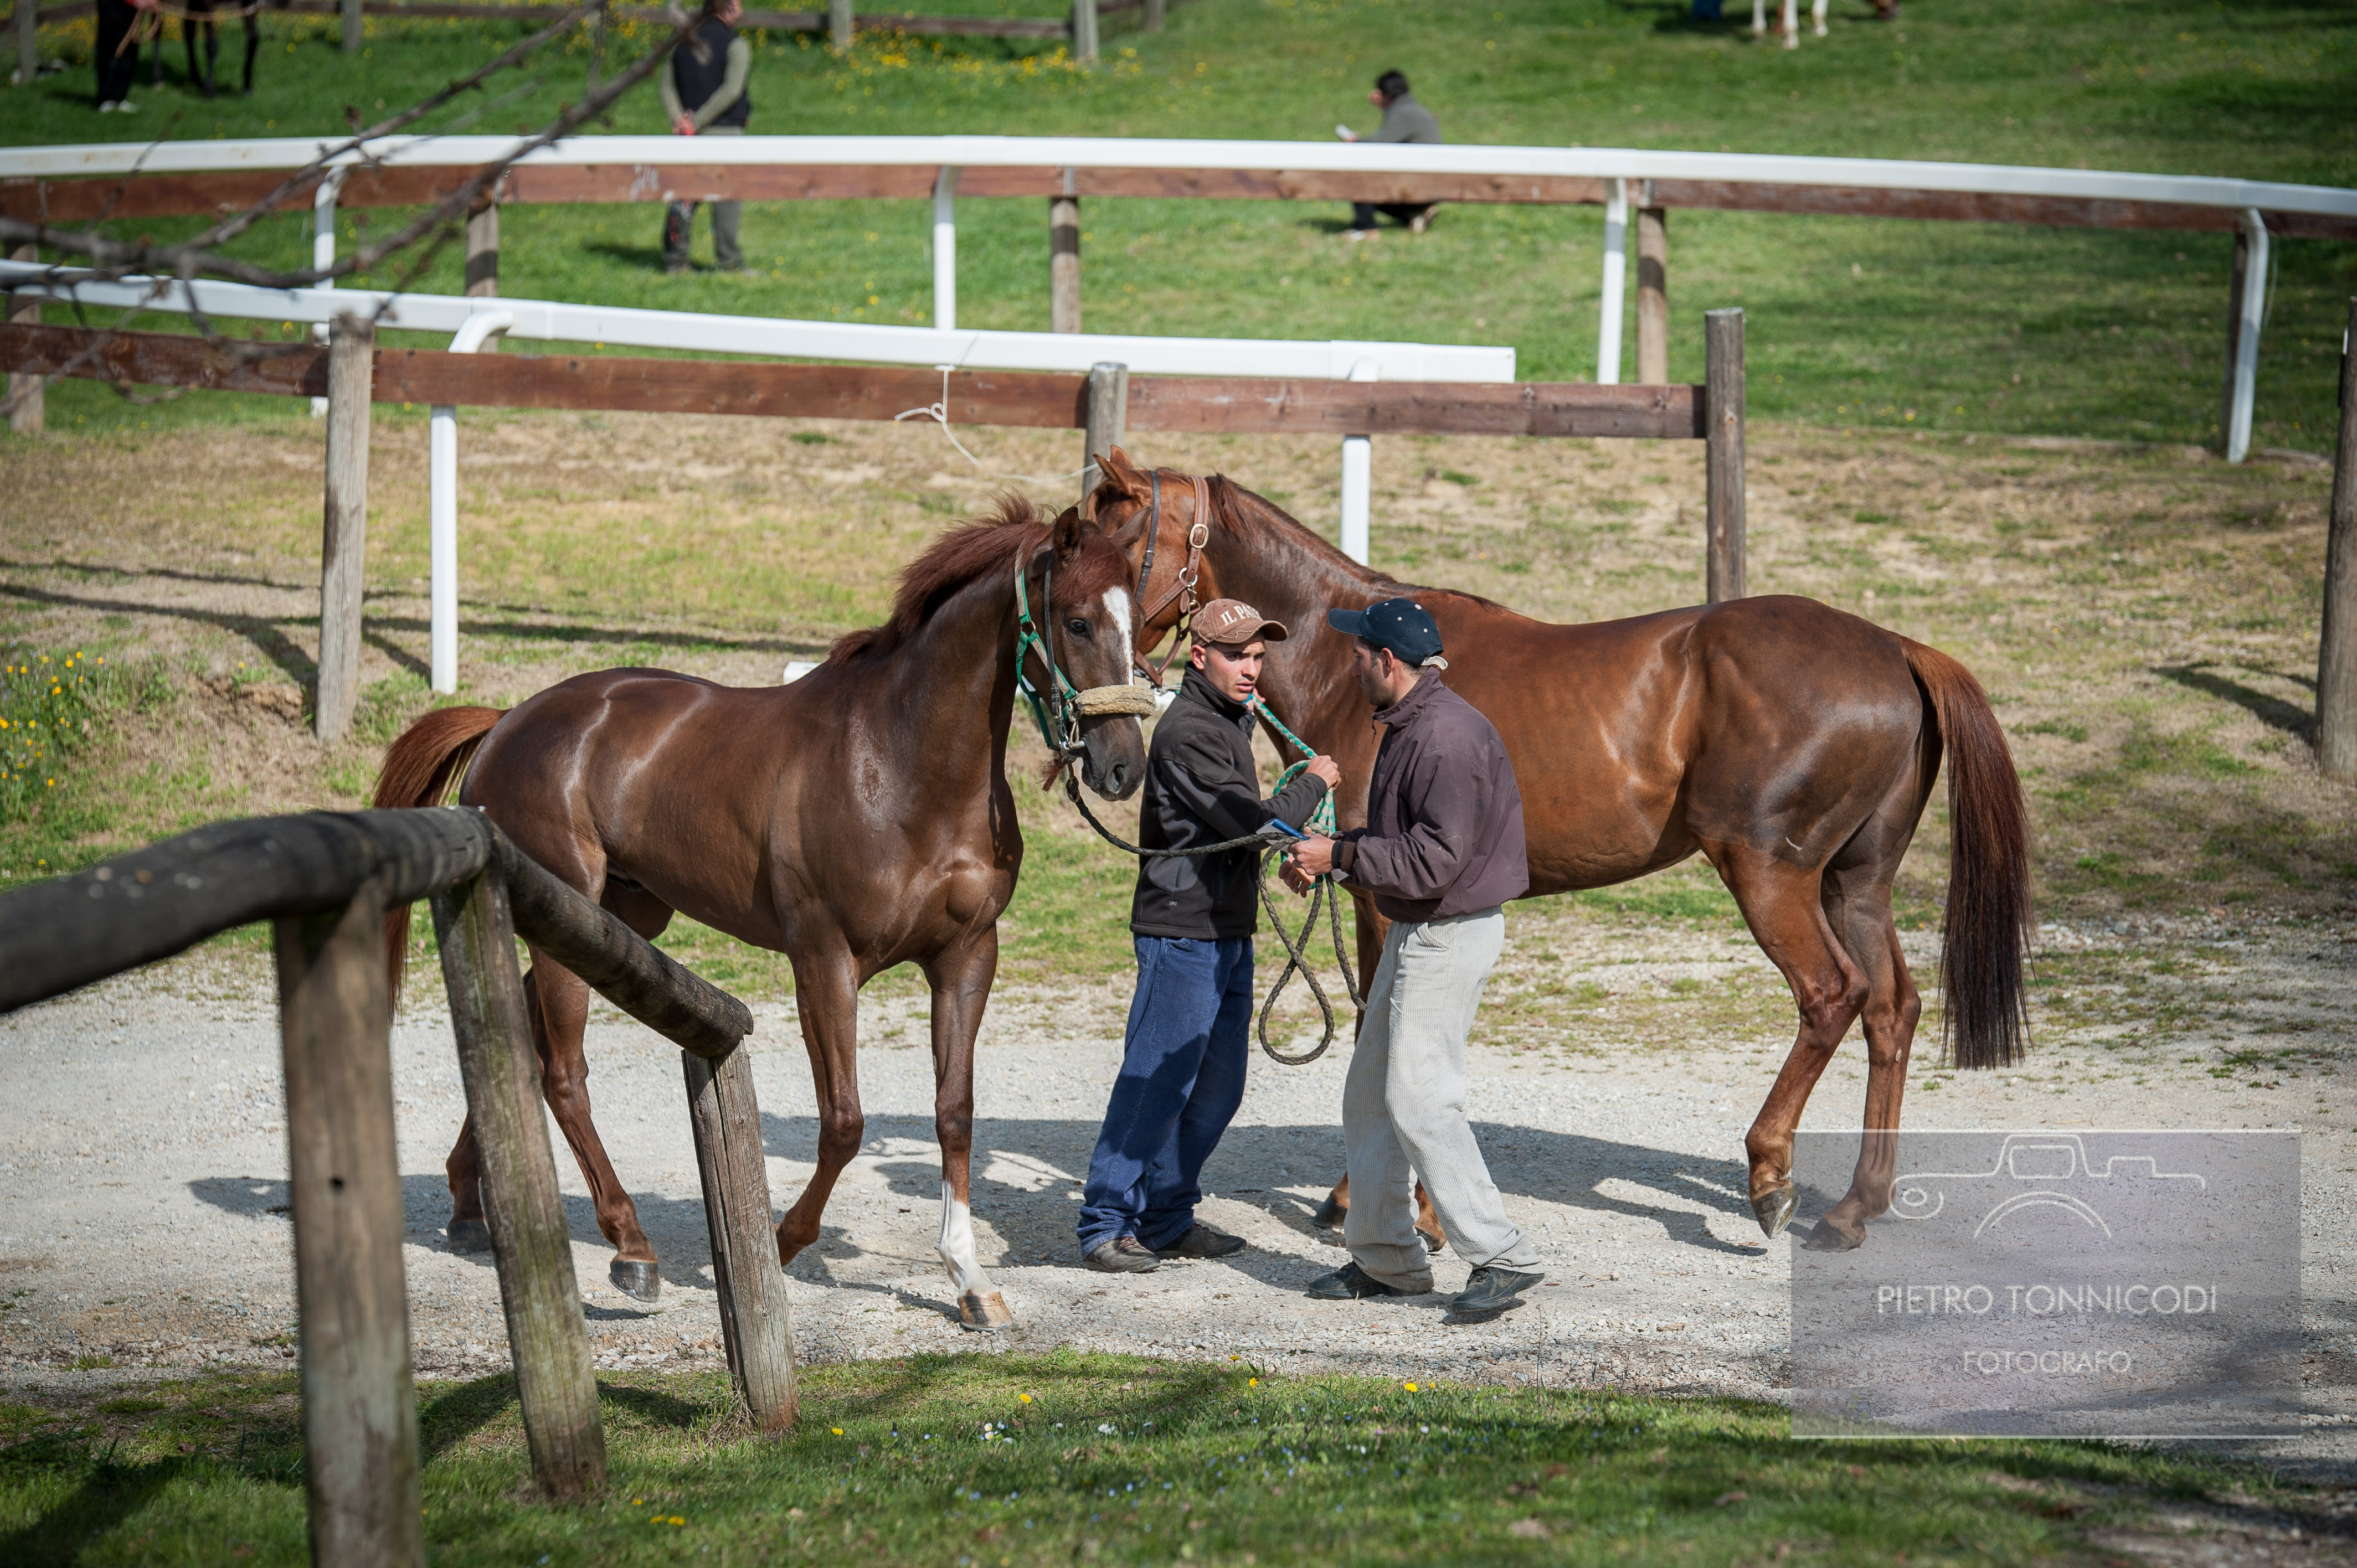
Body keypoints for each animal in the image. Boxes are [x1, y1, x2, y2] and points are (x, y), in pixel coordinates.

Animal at [374, 497, 1150, 1320]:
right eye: (1076, 622)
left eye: (1139, 621)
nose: (1122, 767)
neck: (903, 765)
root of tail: (506, 720)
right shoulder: (824, 959)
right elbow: (843, 1121)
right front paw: (778, 1245)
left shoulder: (967, 955)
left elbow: (954, 1111)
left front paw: (968, 1277)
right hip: (572, 919)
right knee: (563, 1074)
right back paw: (631, 1249)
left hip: (611, 920)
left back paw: (468, 1206)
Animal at [1084, 450, 2027, 1245]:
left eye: (1099, 546)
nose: (1103, 742)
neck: (1358, 666)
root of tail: (1895, 647)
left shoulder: (1390, 896)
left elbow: (1384, 1038)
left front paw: (1394, 1208)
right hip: (1854, 882)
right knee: (1891, 1008)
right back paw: (1857, 1205)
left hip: (1771, 873)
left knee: (1833, 995)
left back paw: (1770, 1176)